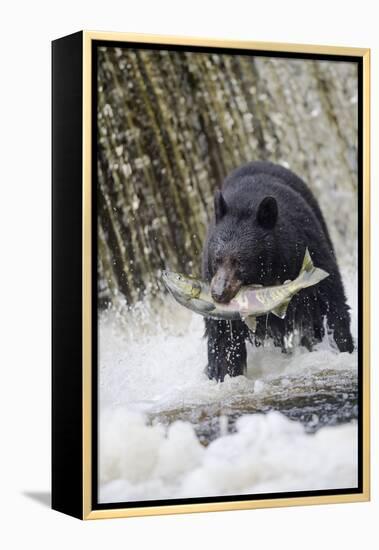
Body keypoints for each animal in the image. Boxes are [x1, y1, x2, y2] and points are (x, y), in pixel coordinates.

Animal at [203, 162, 354, 382]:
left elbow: (330, 298)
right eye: (217, 259)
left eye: (239, 262)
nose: (218, 294)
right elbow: (222, 334)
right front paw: (223, 373)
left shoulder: (306, 248)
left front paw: (343, 347)